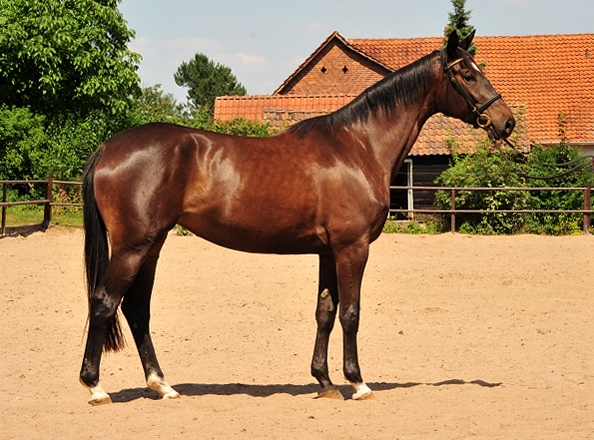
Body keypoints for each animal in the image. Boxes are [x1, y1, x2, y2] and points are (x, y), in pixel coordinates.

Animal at [78, 31, 512, 404]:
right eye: (468, 74)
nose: (506, 121)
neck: (358, 146)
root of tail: (109, 148)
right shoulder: (352, 248)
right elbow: (350, 313)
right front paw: (357, 382)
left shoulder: (328, 252)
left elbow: (325, 313)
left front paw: (325, 381)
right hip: (133, 246)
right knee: (105, 301)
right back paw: (96, 387)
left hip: (152, 245)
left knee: (136, 309)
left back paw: (162, 385)